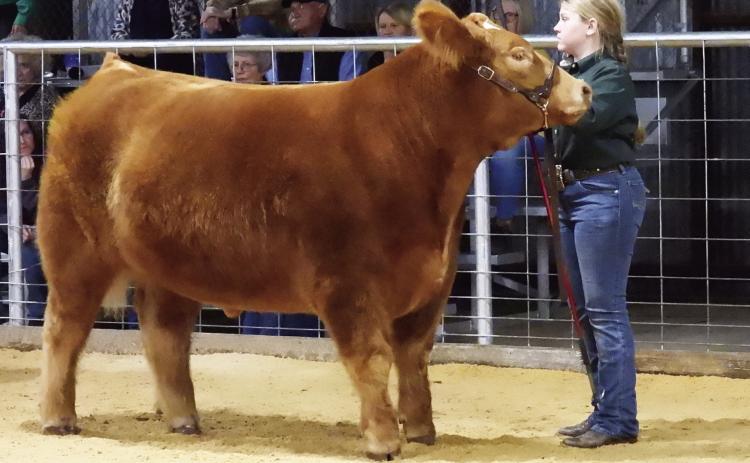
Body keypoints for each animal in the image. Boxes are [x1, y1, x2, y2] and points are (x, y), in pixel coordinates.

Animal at [37, 0, 590, 459]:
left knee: (164, 334)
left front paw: (421, 430)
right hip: (74, 250)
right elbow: (372, 360)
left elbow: (414, 356)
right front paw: (383, 440)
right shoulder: (347, 283)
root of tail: (115, 70)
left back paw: (184, 419)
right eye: (519, 54)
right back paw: (58, 418)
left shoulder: (435, 280)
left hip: (169, 263)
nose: (583, 90)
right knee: (65, 328)